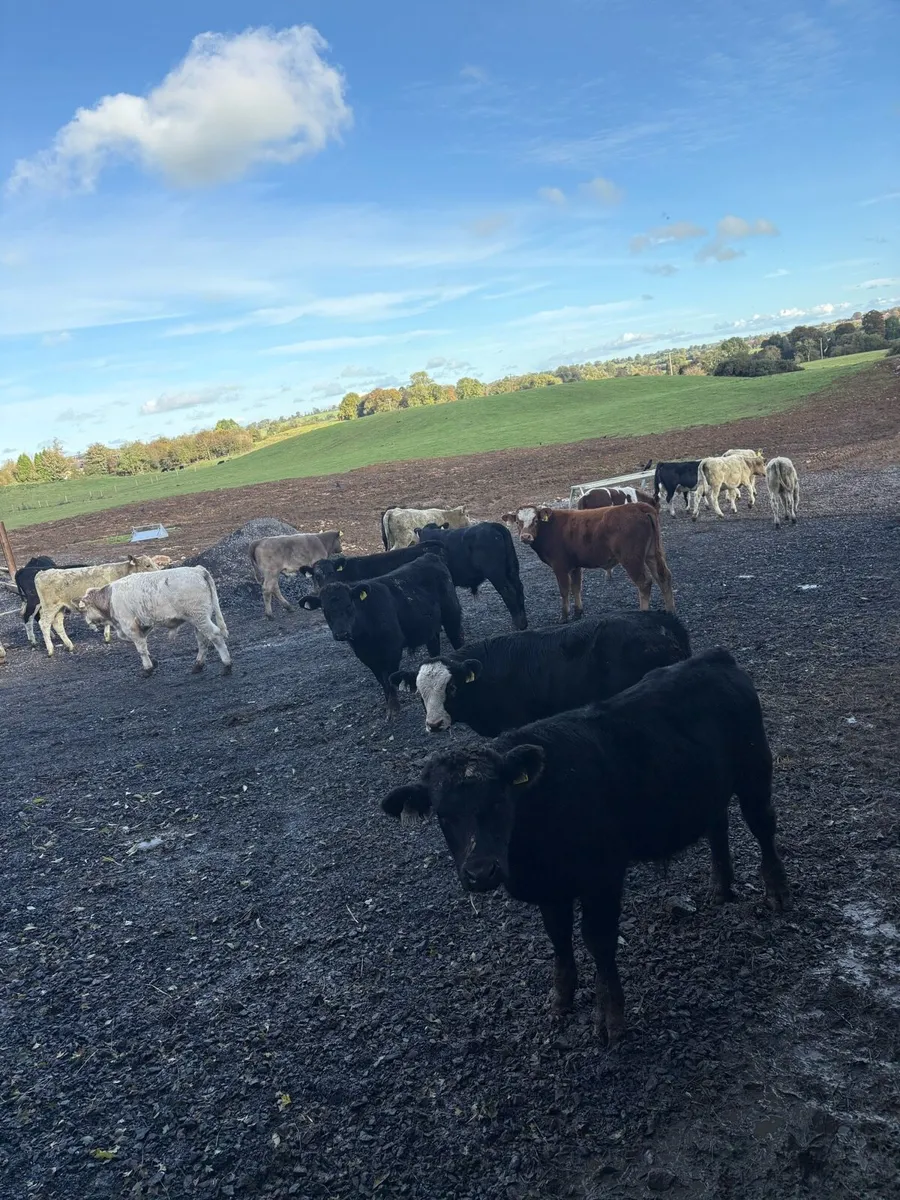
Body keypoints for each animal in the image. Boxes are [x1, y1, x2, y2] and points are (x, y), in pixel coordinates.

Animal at [79, 566, 231, 677]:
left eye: (85, 609)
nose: (88, 624)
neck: (110, 598)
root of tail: (197, 570)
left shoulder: (130, 626)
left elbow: (140, 648)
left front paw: (148, 669)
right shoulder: (142, 625)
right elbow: (143, 645)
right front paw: (153, 661)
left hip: (200, 617)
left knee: (215, 636)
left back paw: (227, 665)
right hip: (198, 618)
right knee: (203, 640)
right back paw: (198, 665)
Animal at [300, 553, 463, 714]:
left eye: (349, 605)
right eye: (325, 610)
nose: (341, 634)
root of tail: (430, 556)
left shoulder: (393, 648)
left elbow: (389, 678)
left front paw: (394, 708)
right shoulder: (365, 655)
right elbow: (381, 680)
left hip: (452, 615)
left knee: (458, 639)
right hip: (429, 627)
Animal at [381, 648, 789, 1045]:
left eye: (499, 801)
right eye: (443, 815)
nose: (481, 872)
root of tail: (713, 658)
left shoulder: (603, 877)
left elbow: (598, 940)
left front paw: (610, 1017)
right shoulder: (551, 888)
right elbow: (558, 936)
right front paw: (561, 997)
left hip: (754, 772)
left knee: (762, 825)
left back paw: (776, 892)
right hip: (711, 789)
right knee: (718, 826)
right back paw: (721, 888)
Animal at [503, 504, 675, 620]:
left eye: (536, 520)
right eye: (518, 522)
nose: (525, 537)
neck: (550, 527)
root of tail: (639, 506)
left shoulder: (560, 567)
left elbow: (564, 591)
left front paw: (564, 617)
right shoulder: (575, 566)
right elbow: (576, 588)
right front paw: (578, 612)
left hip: (631, 558)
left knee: (644, 583)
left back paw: (644, 613)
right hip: (652, 554)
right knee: (663, 577)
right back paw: (670, 611)